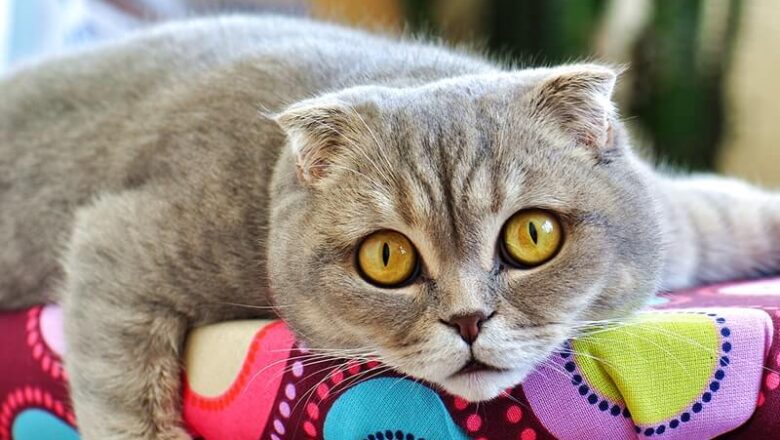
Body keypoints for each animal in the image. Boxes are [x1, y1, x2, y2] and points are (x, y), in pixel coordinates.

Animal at [0, 14, 776, 440]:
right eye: (385, 258)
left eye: (532, 236)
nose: (468, 320)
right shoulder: (118, 244)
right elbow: (125, 402)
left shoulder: (677, 220)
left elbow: (728, 208)